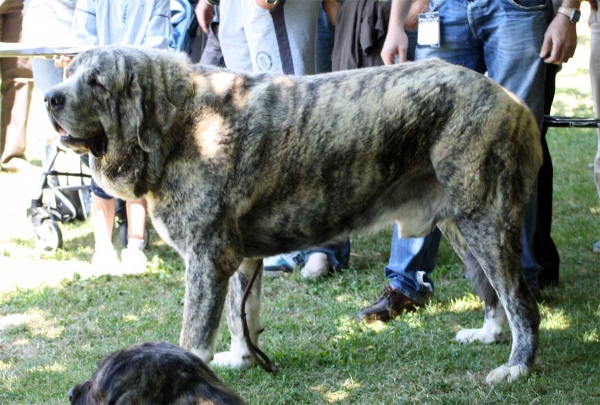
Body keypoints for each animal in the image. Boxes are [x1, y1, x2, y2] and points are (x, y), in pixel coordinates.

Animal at [45, 45, 544, 384]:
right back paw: (488, 335)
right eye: (71, 73)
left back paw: (516, 368)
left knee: (521, 302)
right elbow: (240, 317)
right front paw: (243, 359)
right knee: (493, 294)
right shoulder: (237, 259)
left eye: (97, 82)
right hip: (462, 226)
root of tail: (510, 99)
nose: (51, 97)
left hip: (487, 223)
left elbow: (194, 337)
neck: (181, 122)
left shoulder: (207, 259)